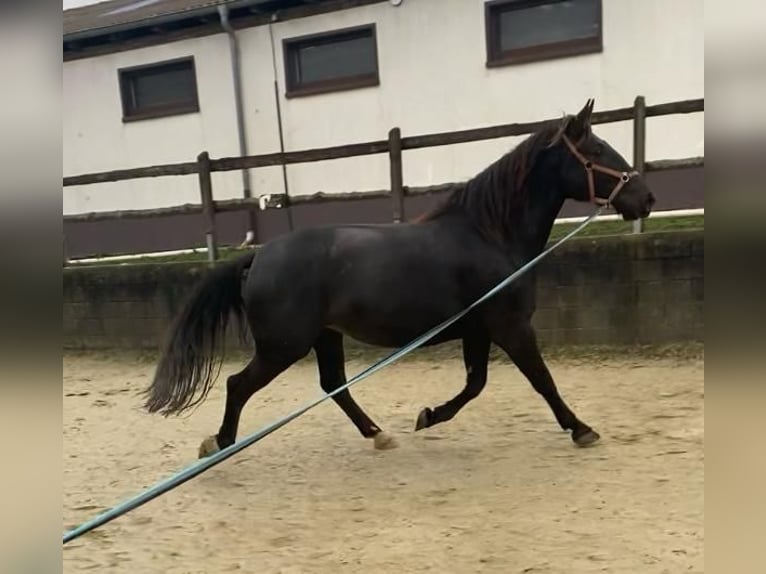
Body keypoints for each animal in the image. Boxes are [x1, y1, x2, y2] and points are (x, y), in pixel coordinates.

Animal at [147, 100, 656, 460]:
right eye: (596, 151)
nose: (646, 198)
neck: (490, 235)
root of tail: (259, 256)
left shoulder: (477, 329)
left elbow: (475, 385)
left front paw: (428, 416)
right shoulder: (510, 326)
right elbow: (542, 381)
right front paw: (582, 429)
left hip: (323, 337)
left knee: (333, 386)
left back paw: (378, 435)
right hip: (283, 346)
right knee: (239, 385)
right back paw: (219, 443)